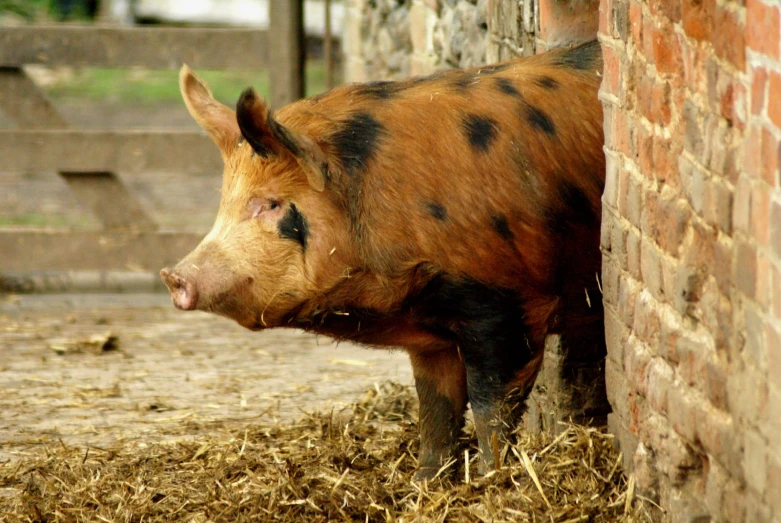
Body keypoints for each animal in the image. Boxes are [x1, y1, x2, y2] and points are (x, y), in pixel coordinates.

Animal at [161, 41, 608, 482]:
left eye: (270, 204)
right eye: (224, 202)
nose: (174, 276)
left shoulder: (507, 304)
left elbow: (490, 410)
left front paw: (488, 481)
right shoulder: (433, 333)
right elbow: (435, 408)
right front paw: (424, 483)